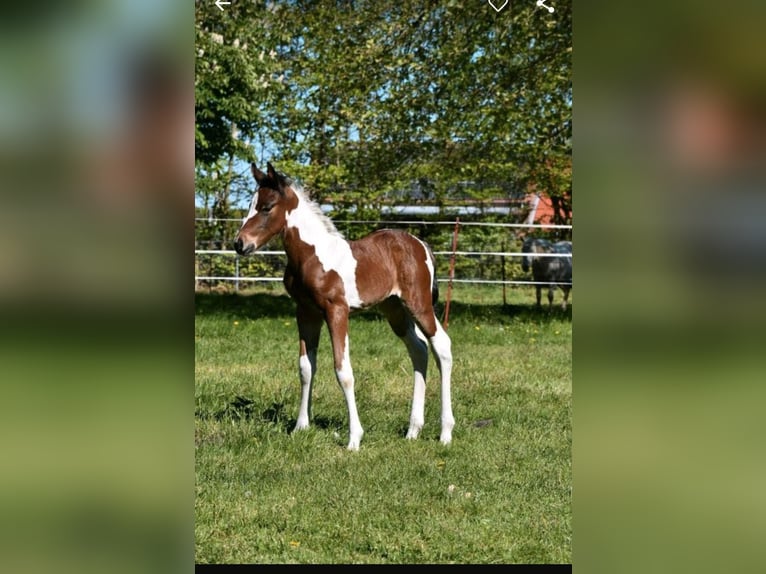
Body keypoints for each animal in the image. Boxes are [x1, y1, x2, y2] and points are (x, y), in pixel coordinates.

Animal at [234, 163, 454, 451]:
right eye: (250, 205)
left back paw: (445, 433)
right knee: (418, 349)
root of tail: (421, 245)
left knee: (442, 346)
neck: (313, 256)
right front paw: (300, 427)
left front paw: (354, 439)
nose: (240, 244)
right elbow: (306, 368)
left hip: (419, 304)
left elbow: (343, 371)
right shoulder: (306, 312)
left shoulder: (336, 311)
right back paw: (413, 430)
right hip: (394, 309)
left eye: (267, 207)